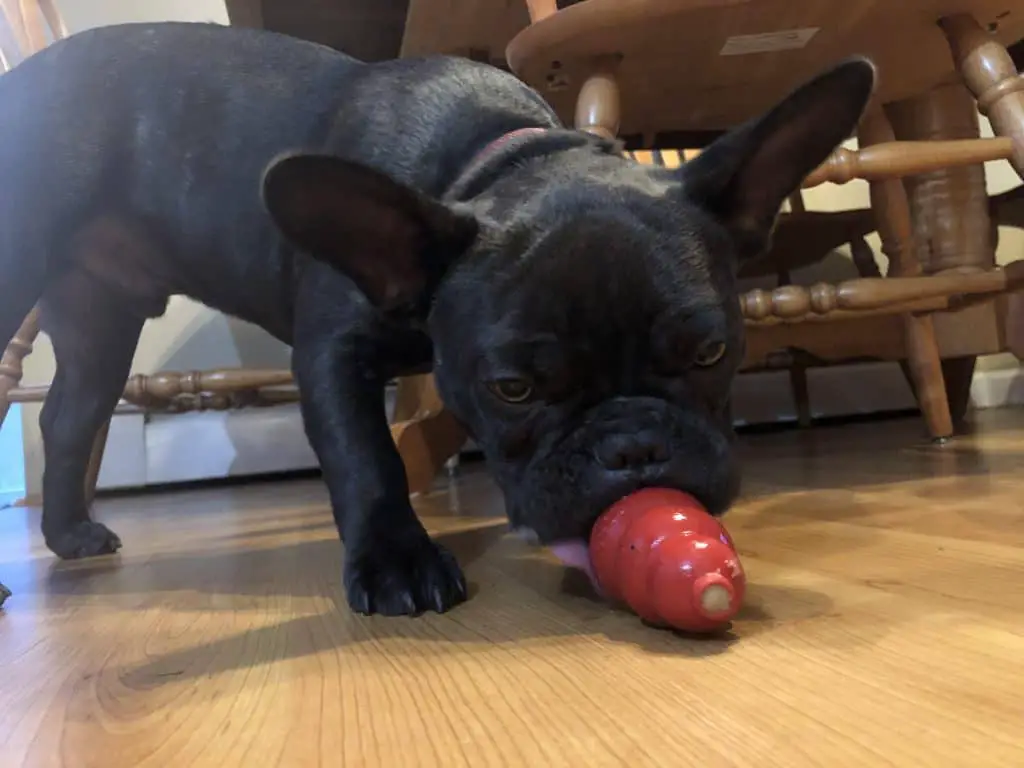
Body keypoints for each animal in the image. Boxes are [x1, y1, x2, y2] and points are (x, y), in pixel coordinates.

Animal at [0, 20, 872, 618]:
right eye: (514, 388)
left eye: (712, 351)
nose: (633, 449)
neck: (494, 156)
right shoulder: (331, 355)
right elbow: (368, 460)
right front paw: (397, 562)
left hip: (102, 321)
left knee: (69, 418)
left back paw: (72, 536)